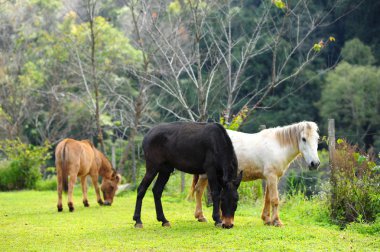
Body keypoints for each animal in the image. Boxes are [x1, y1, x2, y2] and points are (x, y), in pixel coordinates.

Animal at [191, 121, 320, 225]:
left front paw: (267, 219)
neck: (277, 147)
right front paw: (277, 221)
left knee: (199, 190)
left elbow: (267, 198)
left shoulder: (271, 178)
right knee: (200, 191)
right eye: (303, 139)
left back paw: (200, 216)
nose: (315, 163)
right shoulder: (272, 177)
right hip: (207, 174)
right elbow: (274, 199)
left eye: (317, 139)